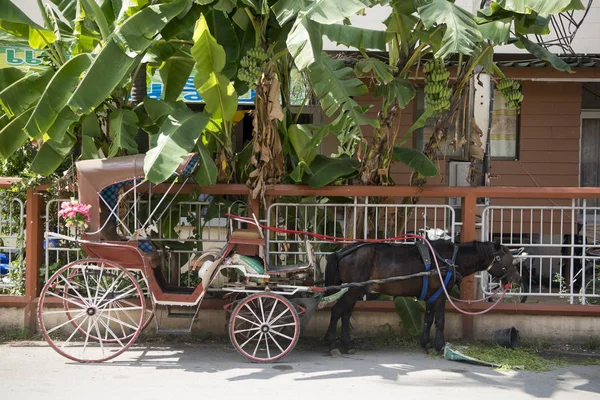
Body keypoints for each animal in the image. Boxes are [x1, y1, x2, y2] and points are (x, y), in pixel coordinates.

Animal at [324, 239, 520, 354]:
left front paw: (426, 344)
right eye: (507, 260)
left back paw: (346, 345)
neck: (449, 260)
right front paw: (440, 346)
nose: (516, 278)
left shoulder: (432, 295)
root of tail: (343, 252)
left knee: (345, 314)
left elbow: (428, 319)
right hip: (352, 290)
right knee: (337, 311)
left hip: (353, 290)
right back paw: (333, 345)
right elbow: (440, 320)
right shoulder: (440, 295)